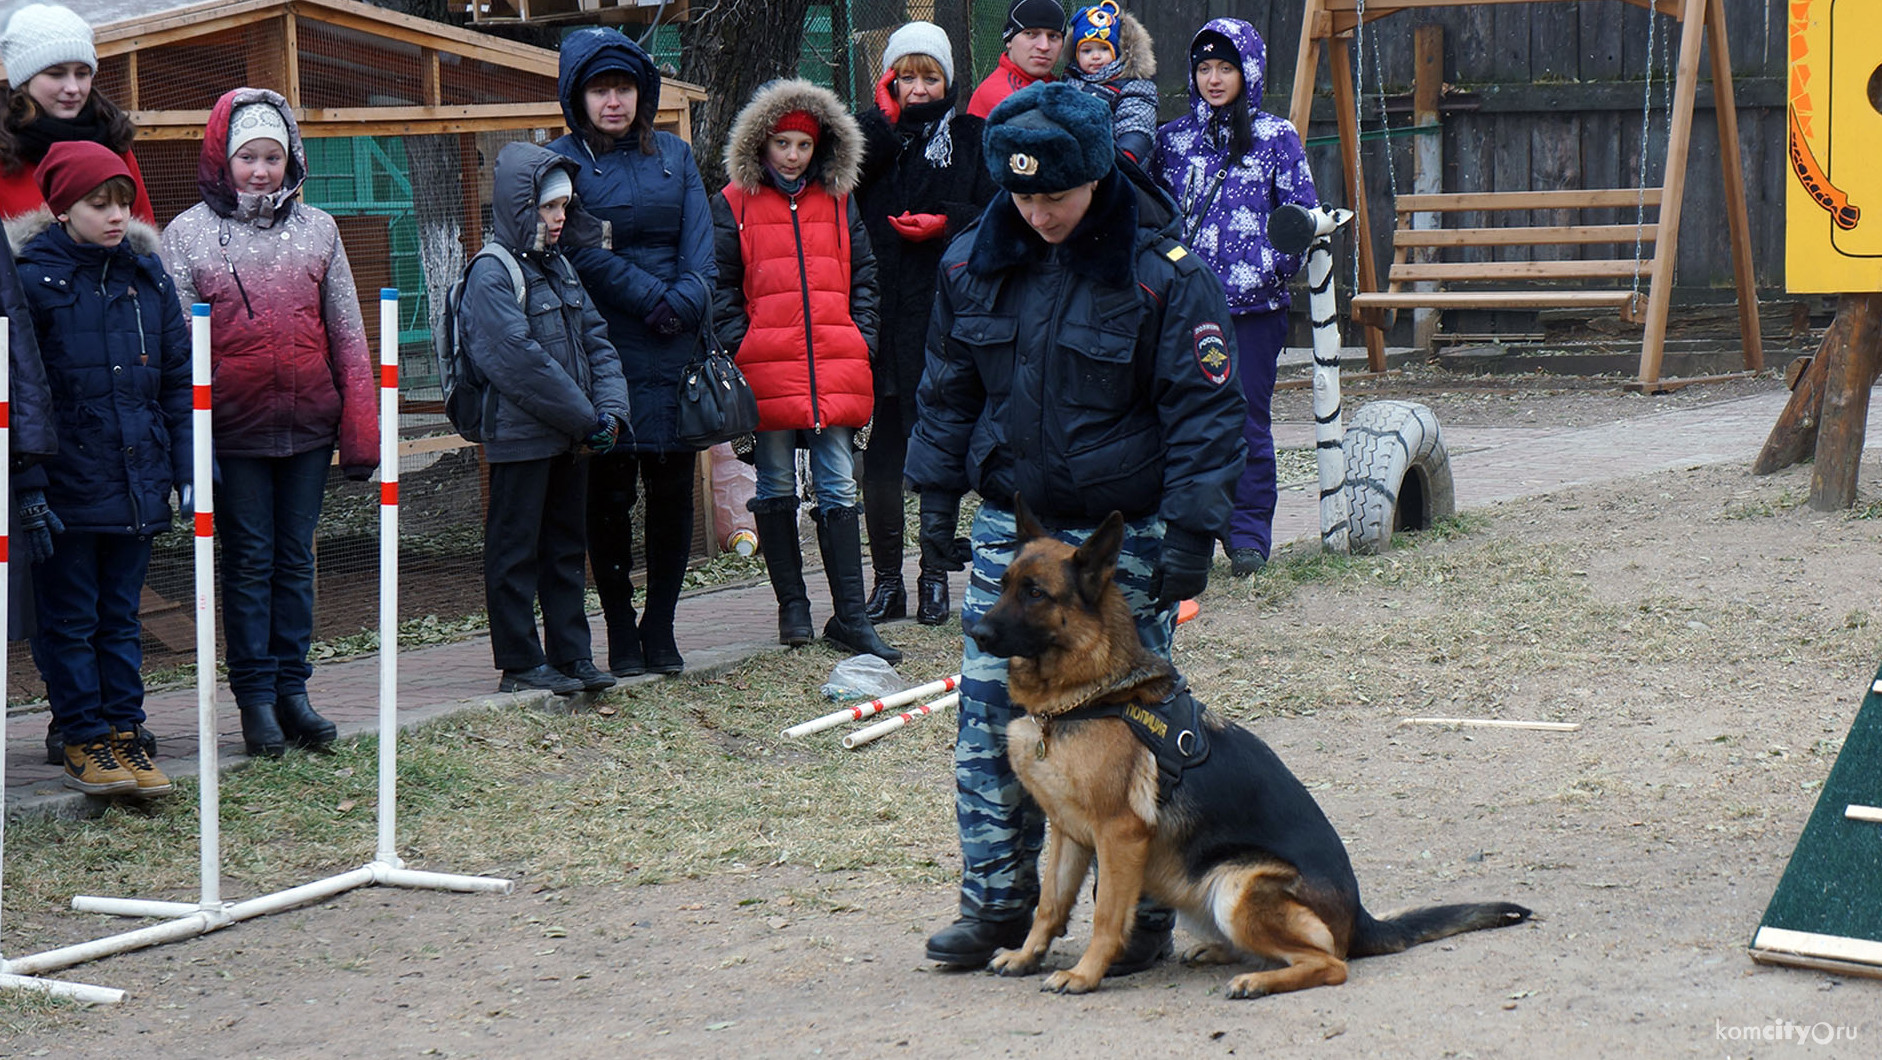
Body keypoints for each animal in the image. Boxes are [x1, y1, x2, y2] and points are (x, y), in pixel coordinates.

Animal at [971, 500, 1528, 1001]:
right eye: (1002, 585)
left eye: (1036, 593)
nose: (974, 632)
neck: (1085, 698)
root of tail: (1359, 919)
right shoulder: (1069, 834)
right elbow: (1049, 906)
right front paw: (1026, 955)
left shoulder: (1119, 836)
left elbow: (1106, 917)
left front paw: (1085, 974)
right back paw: (1222, 953)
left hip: (1236, 884)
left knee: (1331, 963)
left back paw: (1258, 981)